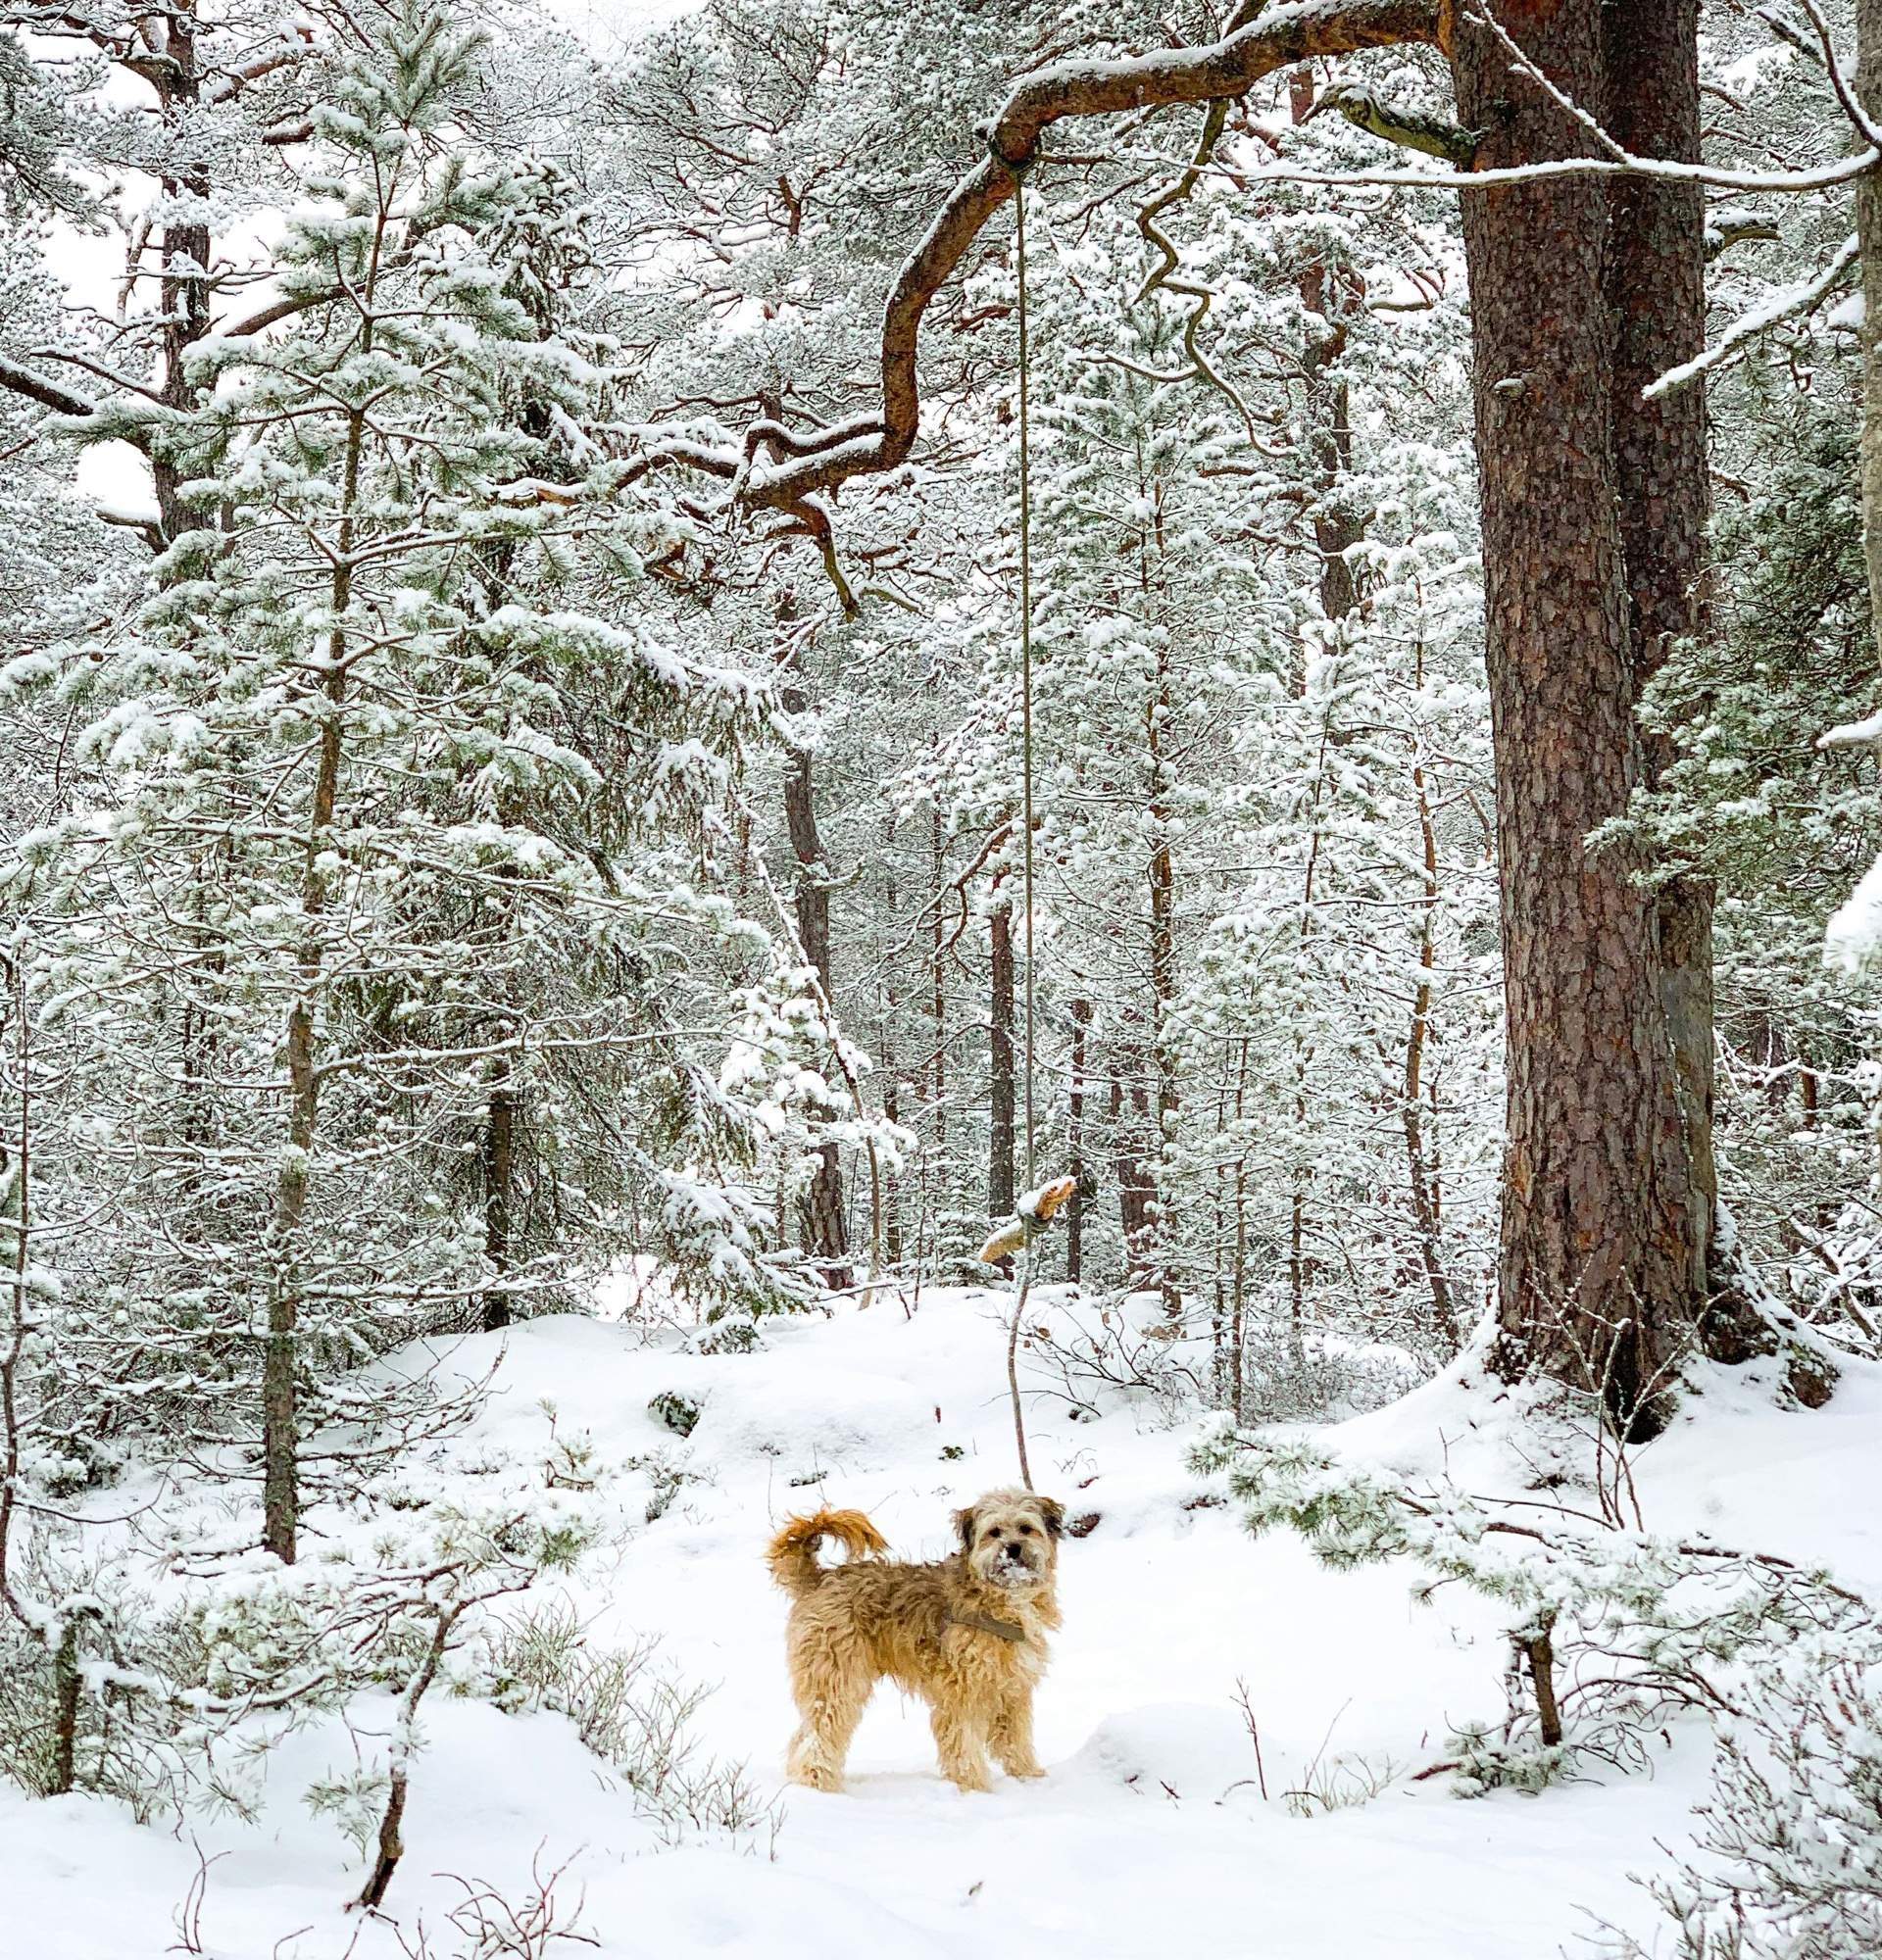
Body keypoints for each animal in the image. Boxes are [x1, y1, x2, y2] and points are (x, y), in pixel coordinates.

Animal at [761, 1482, 1059, 1795]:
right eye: (995, 1532)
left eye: (1025, 1528)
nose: (1012, 1548)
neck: (998, 1598)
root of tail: (821, 1578)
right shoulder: (962, 1690)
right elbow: (963, 1743)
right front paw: (975, 1788)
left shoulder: (1013, 1688)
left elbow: (1016, 1739)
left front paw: (1029, 1777)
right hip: (835, 1675)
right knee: (818, 1734)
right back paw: (819, 1785)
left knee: (805, 1735)